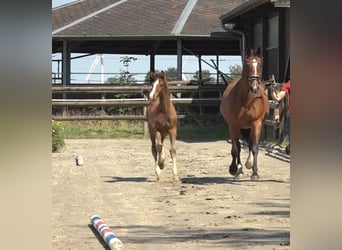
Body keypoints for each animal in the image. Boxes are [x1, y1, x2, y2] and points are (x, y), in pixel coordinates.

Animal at [219, 47, 270, 180]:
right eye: (247, 65)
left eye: (260, 64)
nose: (255, 88)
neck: (246, 101)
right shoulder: (233, 125)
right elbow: (235, 149)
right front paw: (235, 170)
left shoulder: (256, 123)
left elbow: (255, 147)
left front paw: (254, 172)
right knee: (238, 146)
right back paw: (239, 170)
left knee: (250, 143)